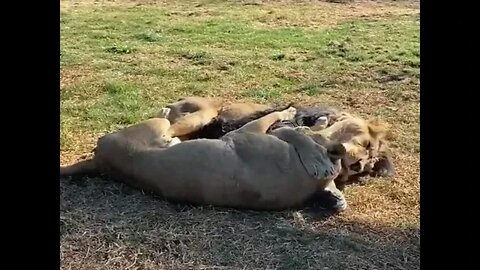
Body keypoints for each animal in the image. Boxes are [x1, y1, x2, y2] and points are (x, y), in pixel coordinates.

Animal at [62, 107, 350, 211]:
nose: (319, 118)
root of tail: (100, 161)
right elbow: (285, 123)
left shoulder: (247, 132)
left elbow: (286, 125)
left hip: (161, 127)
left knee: (174, 121)